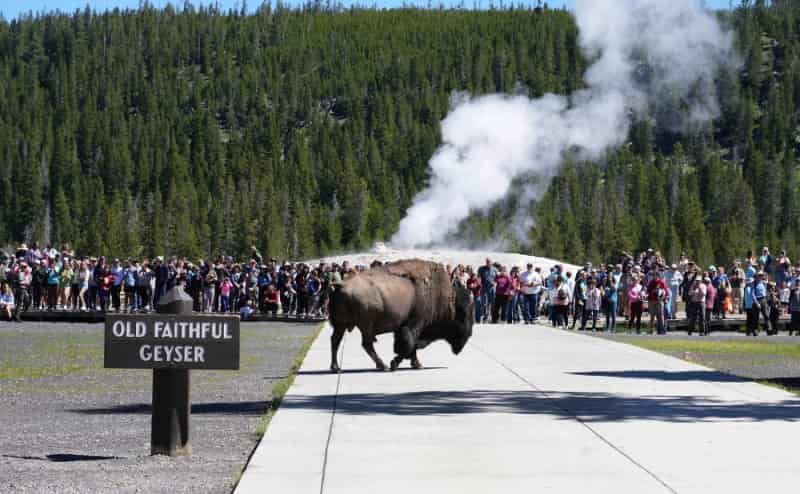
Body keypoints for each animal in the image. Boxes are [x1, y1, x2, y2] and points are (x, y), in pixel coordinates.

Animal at [326, 260, 472, 372]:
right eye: (464, 317)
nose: (469, 334)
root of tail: (341, 285)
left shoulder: (403, 328)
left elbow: (411, 346)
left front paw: (417, 364)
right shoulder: (415, 324)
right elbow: (409, 345)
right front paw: (394, 364)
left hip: (341, 325)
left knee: (336, 341)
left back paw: (336, 368)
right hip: (365, 326)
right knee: (366, 344)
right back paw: (383, 366)